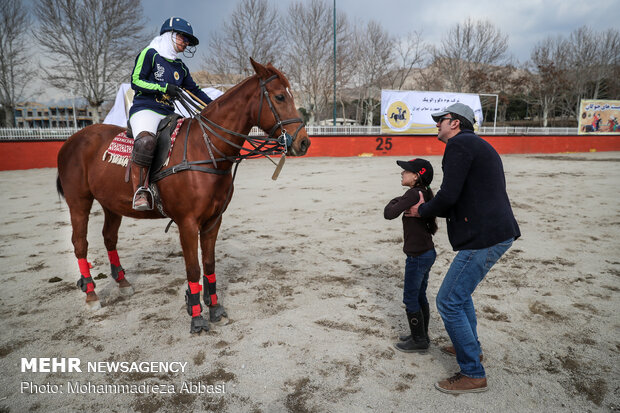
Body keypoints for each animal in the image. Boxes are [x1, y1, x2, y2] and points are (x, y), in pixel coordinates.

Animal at [57, 59, 310, 334]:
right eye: (280, 96)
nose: (304, 143)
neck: (207, 149)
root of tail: (71, 140)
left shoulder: (213, 220)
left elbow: (209, 265)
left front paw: (215, 309)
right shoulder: (187, 223)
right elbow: (193, 267)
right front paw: (197, 316)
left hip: (111, 203)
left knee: (109, 237)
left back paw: (122, 283)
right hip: (79, 201)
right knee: (80, 242)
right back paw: (91, 294)